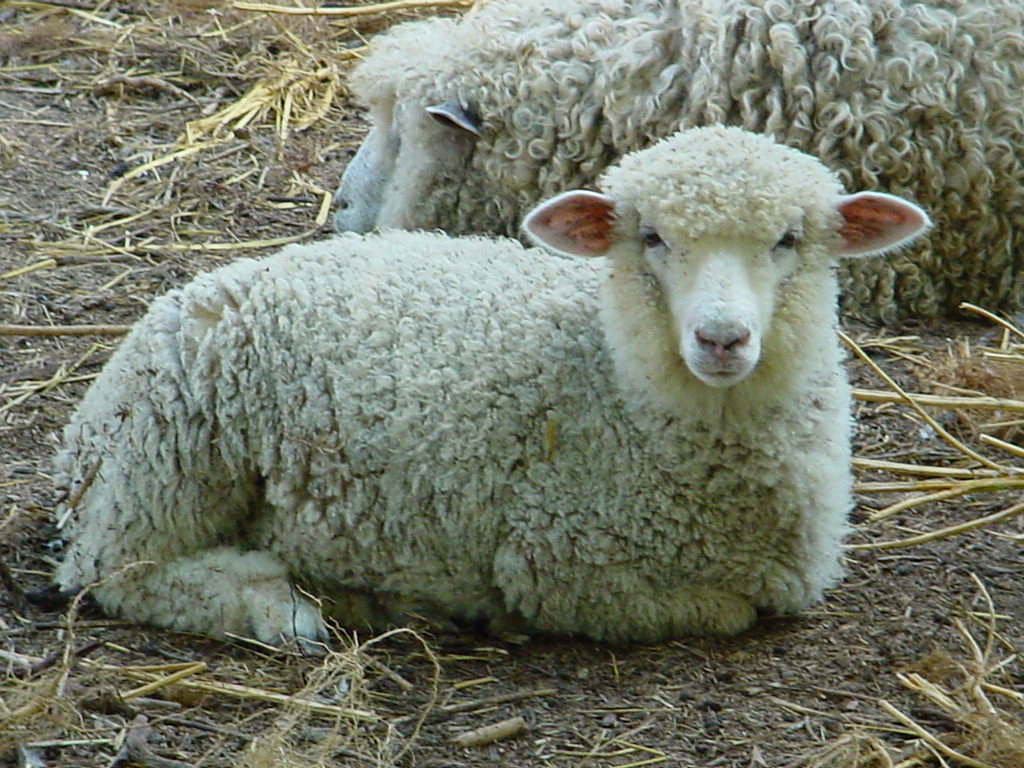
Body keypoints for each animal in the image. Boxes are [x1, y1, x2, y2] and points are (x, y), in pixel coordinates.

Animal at [54, 127, 930, 645]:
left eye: (789, 240)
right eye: (651, 237)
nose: (722, 338)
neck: (611, 382)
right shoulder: (568, 572)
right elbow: (725, 610)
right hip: (167, 462)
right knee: (115, 572)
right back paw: (279, 606)